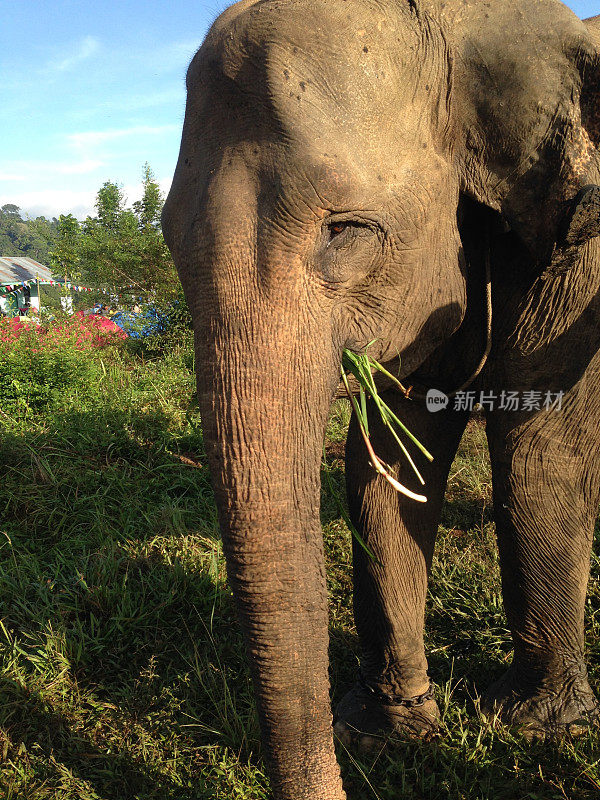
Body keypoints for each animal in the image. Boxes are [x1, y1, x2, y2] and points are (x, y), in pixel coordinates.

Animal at [162, 1, 600, 800]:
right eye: (169, 238)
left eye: (344, 231)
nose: (338, 778)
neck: (464, 26)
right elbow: (392, 465)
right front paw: (387, 732)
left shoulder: (579, 245)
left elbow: (543, 452)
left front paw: (541, 729)